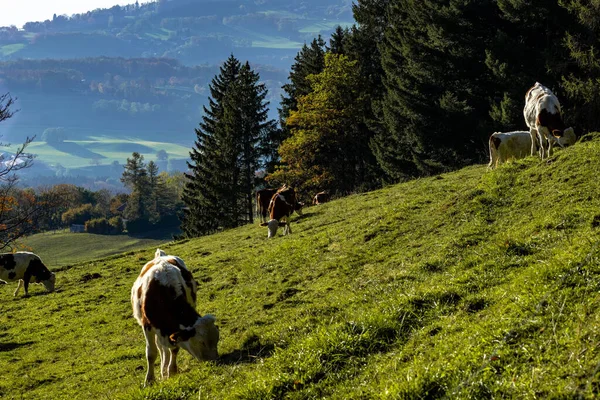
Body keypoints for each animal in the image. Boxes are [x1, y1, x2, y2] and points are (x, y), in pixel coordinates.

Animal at [130, 248, 219, 386]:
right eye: (201, 342)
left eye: (217, 339)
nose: (215, 361)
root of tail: (160, 255)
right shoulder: (147, 325)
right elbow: (151, 353)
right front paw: (149, 380)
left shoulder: (172, 331)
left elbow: (175, 348)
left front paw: (171, 371)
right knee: (160, 348)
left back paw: (164, 370)